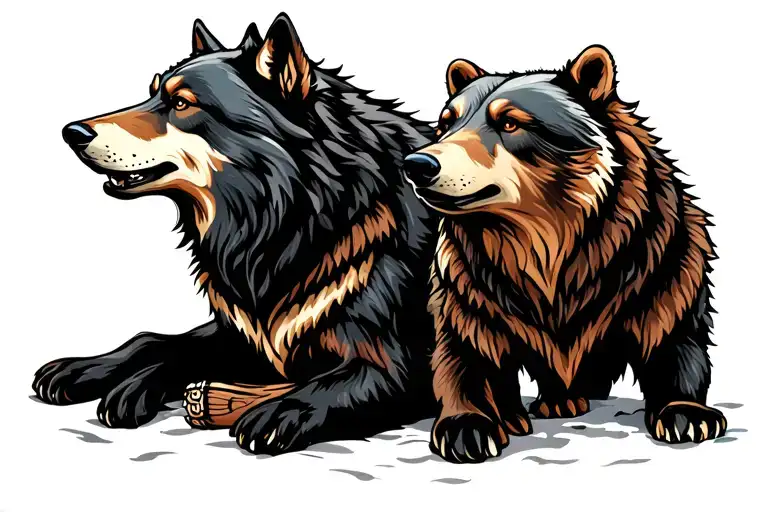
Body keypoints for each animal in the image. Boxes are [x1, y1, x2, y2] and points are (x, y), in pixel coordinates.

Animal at [34, 13, 437, 455]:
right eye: (151, 93)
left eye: (181, 103)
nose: (72, 132)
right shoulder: (243, 335)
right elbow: (156, 342)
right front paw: (92, 370)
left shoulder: (396, 366)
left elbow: (330, 387)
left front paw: (281, 411)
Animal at [401, 44, 726, 463]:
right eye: (446, 124)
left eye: (510, 123)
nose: (417, 164)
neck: (544, 246)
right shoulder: (472, 283)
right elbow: (464, 348)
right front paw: (467, 425)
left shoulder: (656, 263)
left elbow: (672, 333)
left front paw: (686, 413)